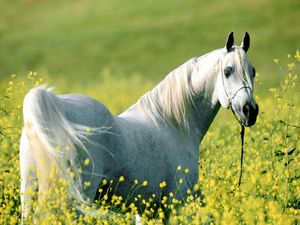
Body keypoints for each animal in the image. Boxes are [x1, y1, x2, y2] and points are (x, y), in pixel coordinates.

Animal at [19, 32, 258, 221]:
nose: (250, 110)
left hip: (30, 191)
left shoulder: (145, 211)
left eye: (253, 71)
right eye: (227, 71)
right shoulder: (175, 204)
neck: (173, 124)